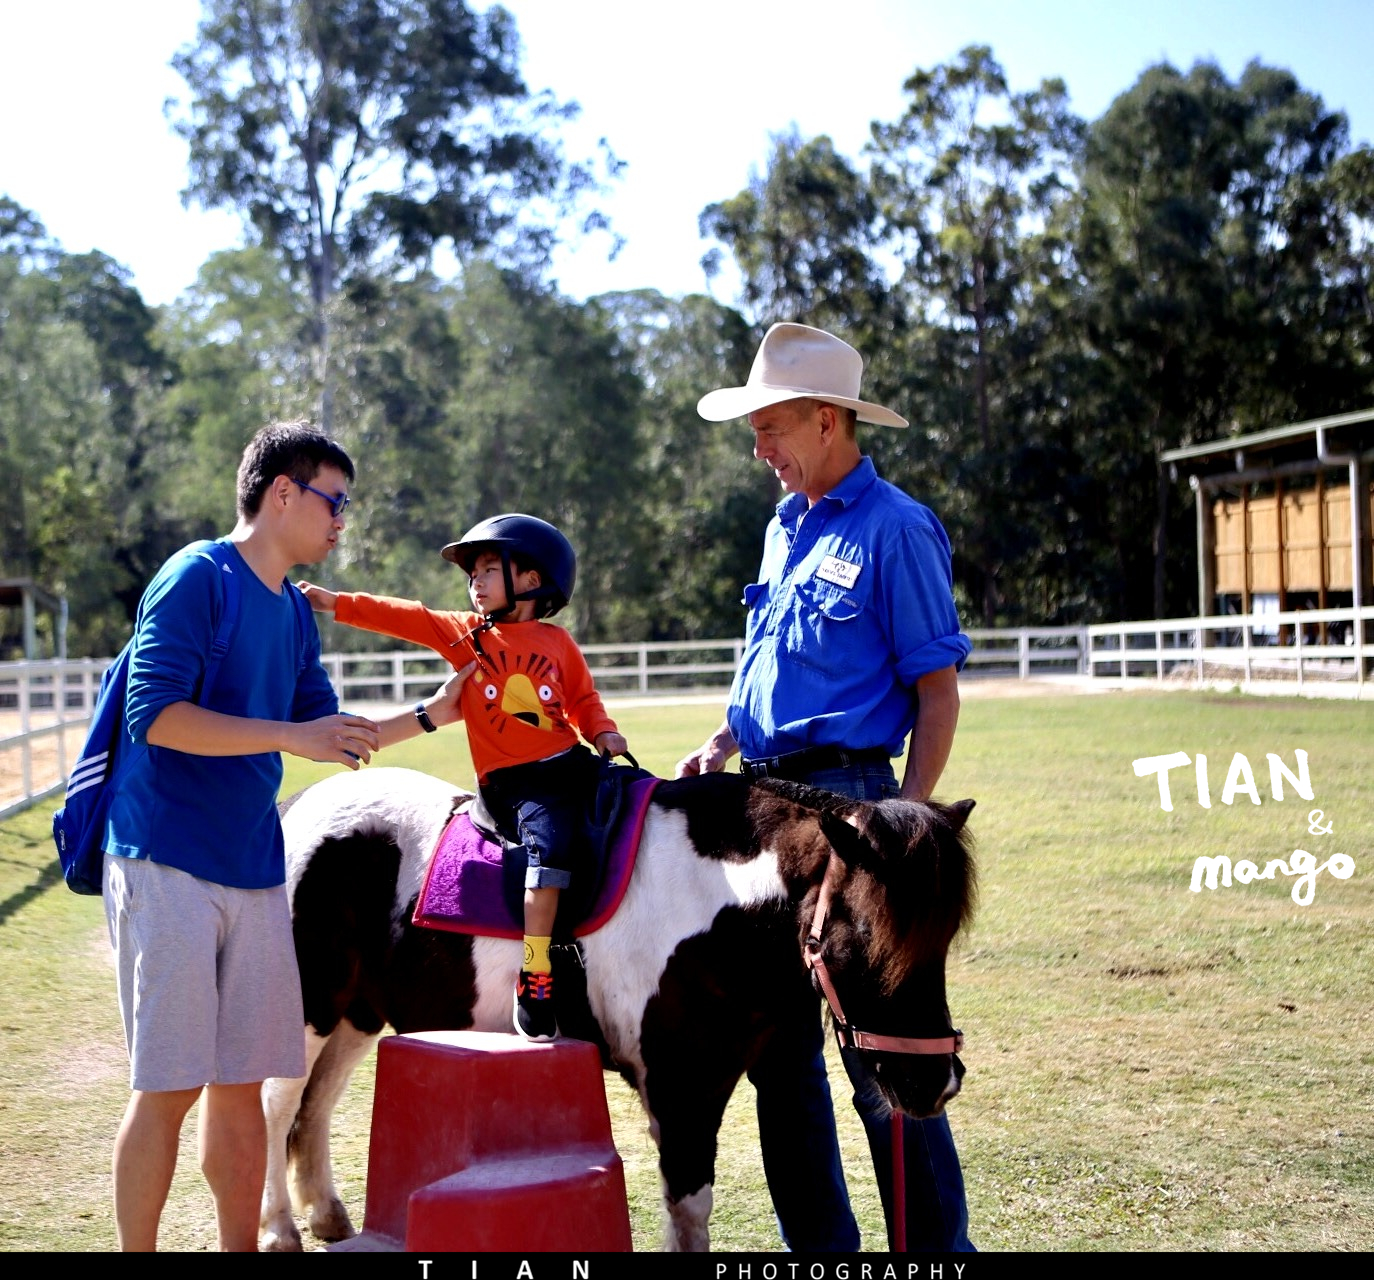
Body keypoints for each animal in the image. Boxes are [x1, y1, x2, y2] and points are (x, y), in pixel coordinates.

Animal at [259, 758, 978, 1252]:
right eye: (864, 936)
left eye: (943, 939)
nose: (932, 1082)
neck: (715, 899)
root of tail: (296, 809)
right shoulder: (681, 1091)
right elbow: (689, 1213)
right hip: (309, 1008)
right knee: (278, 1103)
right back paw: (278, 1231)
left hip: (355, 1013)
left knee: (314, 1106)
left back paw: (327, 1215)